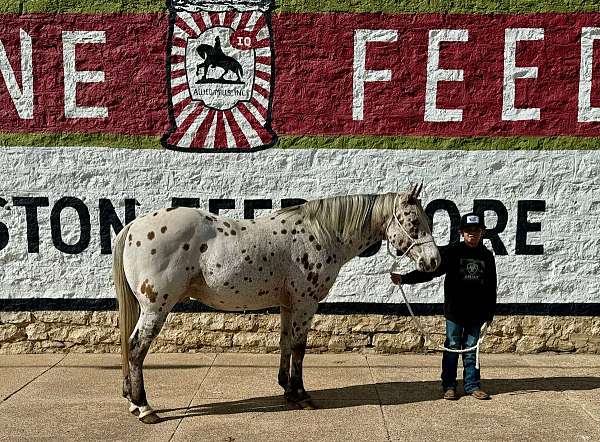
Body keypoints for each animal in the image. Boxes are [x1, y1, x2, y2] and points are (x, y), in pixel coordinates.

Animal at [113, 185, 440, 424]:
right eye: (414, 222)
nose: (434, 261)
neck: (320, 233)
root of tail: (134, 225)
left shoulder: (288, 305)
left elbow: (284, 344)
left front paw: (286, 389)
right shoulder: (306, 303)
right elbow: (299, 348)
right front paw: (301, 395)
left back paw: (132, 401)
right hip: (156, 308)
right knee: (136, 348)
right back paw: (144, 408)